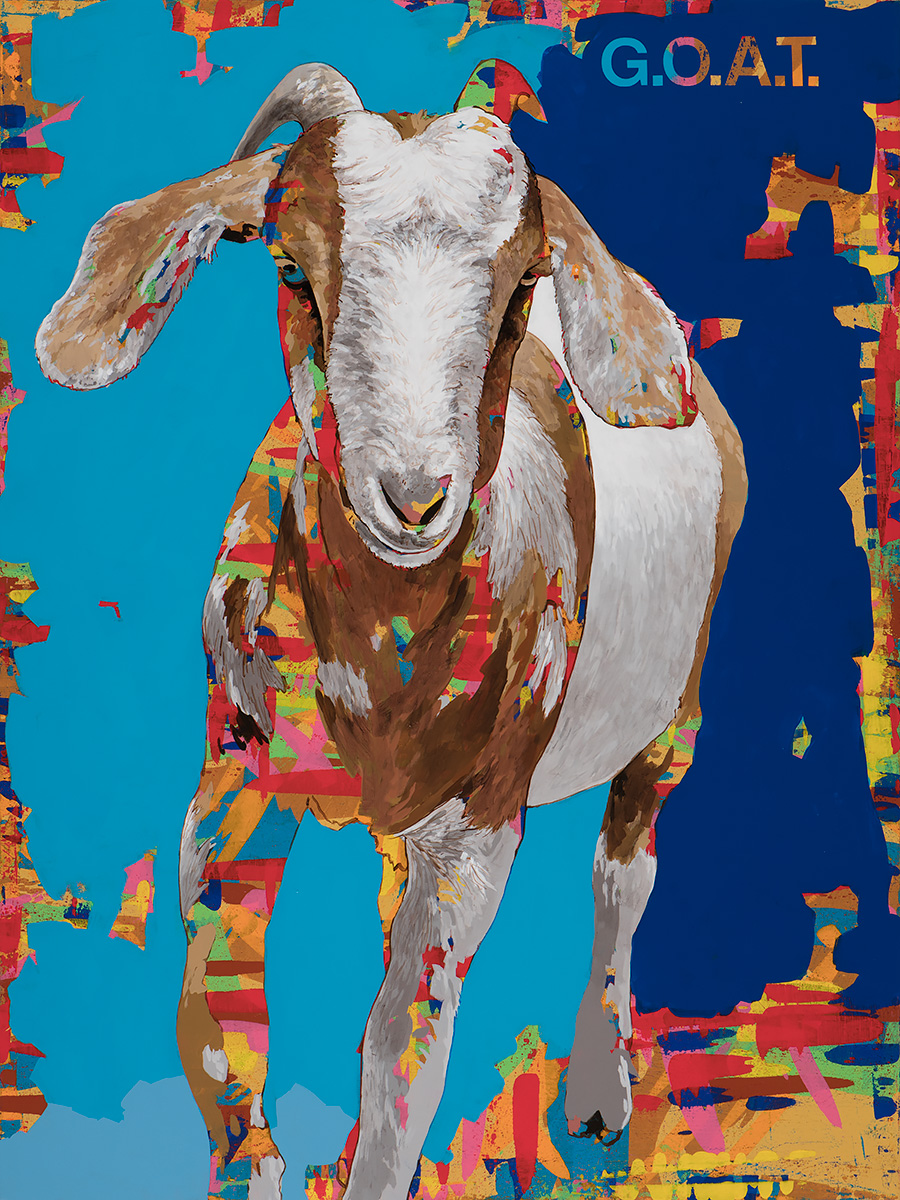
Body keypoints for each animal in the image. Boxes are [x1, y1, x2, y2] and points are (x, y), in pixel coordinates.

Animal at [36, 62, 746, 1200]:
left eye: (521, 287)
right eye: (290, 264)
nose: (414, 498)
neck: (384, 666)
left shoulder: (477, 835)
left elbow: (400, 1058)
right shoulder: (231, 785)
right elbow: (218, 1024)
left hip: (673, 711)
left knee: (623, 872)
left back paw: (598, 1093)